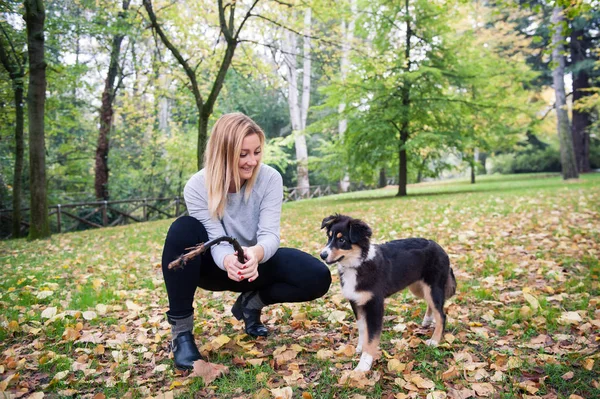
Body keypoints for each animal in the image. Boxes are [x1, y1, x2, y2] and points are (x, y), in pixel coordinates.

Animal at [318, 214, 454, 374]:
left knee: (442, 315)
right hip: (418, 287)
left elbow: (372, 337)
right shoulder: (356, 302)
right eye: (329, 237)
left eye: (342, 240)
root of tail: (440, 247)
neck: (357, 264)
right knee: (432, 304)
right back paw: (427, 320)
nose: (322, 255)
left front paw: (363, 365)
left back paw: (434, 340)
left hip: (433, 286)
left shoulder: (375, 305)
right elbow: (363, 329)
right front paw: (360, 347)